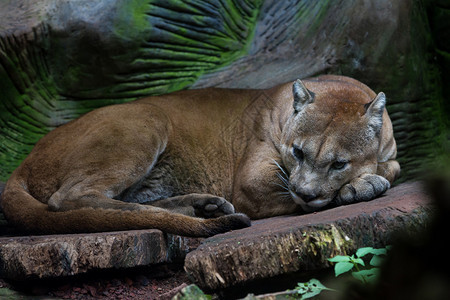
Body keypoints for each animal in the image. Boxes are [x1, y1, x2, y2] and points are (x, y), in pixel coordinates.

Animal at [0, 75, 400, 237]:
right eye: (297, 152)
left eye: (338, 163)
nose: (305, 191)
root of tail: (25, 159)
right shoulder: (251, 182)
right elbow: (290, 193)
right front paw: (359, 187)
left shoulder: (390, 152)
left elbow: (392, 166)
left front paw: (367, 178)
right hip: (146, 120)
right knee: (69, 199)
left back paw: (202, 206)